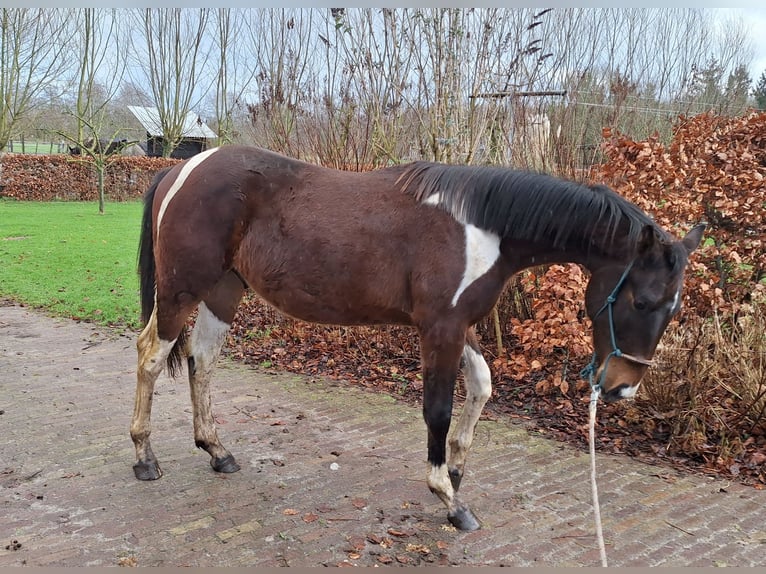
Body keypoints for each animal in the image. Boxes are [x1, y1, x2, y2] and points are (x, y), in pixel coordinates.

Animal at [132, 146, 708, 532]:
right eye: (642, 301)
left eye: (675, 309)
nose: (622, 387)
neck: (480, 229)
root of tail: (181, 169)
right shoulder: (440, 330)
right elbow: (438, 410)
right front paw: (449, 498)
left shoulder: (460, 325)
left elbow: (483, 385)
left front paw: (456, 468)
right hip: (182, 289)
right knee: (151, 357)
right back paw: (145, 458)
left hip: (224, 290)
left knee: (203, 360)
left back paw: (216, 450)